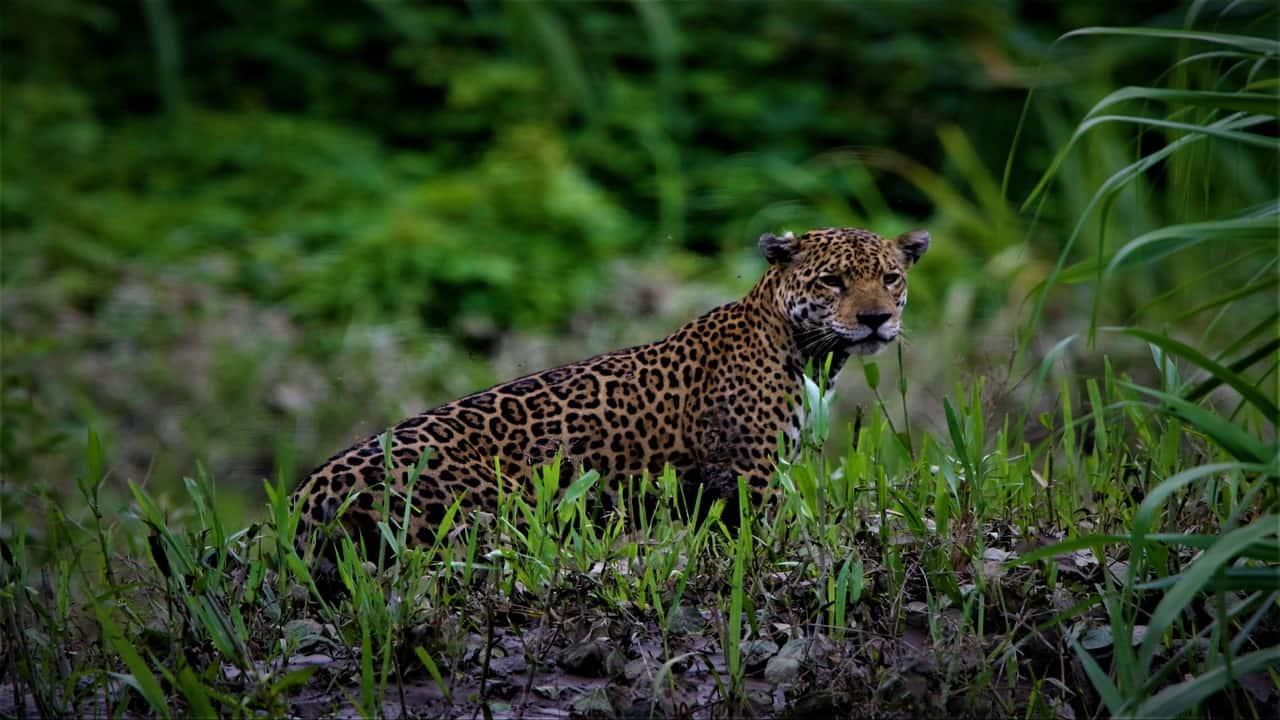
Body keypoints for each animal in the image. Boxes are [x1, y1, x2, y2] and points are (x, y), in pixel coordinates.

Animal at [291, 226, 929, 563]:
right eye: (833, 281)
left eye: (890, 278)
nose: (875, 319)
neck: (813, 354)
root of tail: (311, 485)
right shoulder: (750, 476)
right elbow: (757, 543)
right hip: (452, 526)